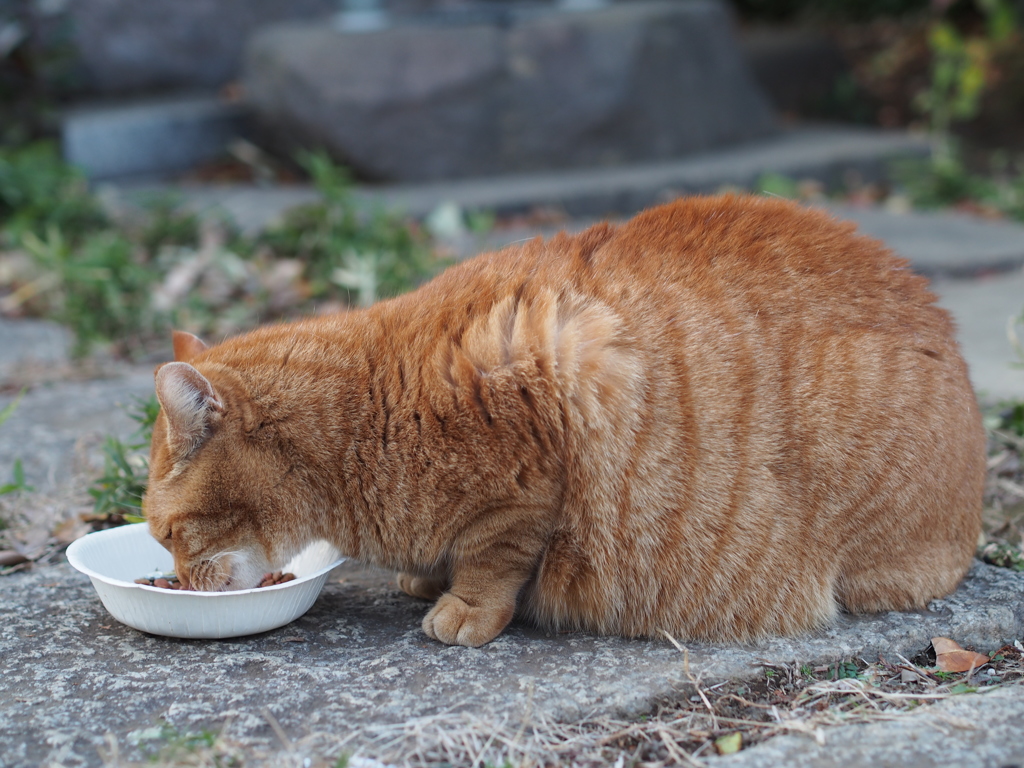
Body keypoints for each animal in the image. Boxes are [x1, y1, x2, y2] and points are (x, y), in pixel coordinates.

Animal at [144, 195, 983, 647]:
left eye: (170, 532)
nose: (178, 582)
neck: (366, 407)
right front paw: (427, 576)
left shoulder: (542, 438)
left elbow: (493, 559)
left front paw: (464, 608)